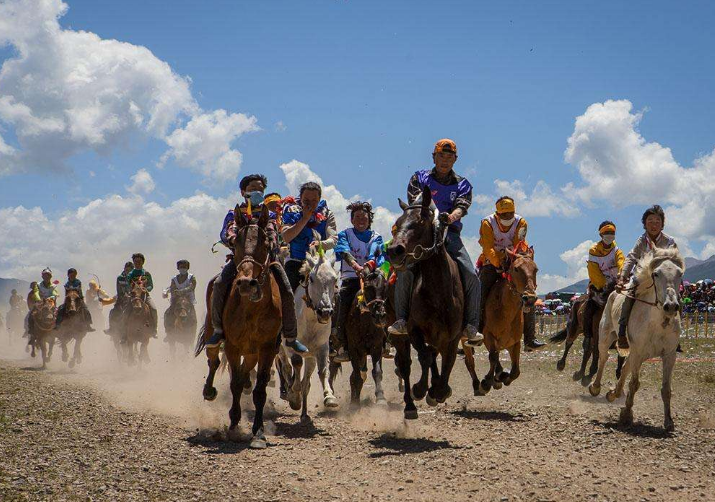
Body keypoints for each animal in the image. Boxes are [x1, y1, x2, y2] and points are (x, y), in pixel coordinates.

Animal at [197, 206, 286, 450]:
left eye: (265, 243)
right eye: (235, 242)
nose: (246, 283)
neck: (251, 309)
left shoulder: (267, 348)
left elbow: (260, 390)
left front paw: (259, 433)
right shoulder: (233, 347)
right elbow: (234, 384)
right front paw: (234, 424)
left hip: (253, 351)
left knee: (247, 370)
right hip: (213, 334)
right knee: (213, 361)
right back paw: (209, 390)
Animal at [278, 249, 340, 422]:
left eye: (334, 279)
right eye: (312, 278)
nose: (325, 312)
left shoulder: (322, 347)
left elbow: (323, 370)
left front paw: (329, 397)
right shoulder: (290, 345)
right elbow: (296, 362)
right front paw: (294, 395)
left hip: (311, 357)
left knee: (306, 382)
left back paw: (304, 413)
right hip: (280, 349)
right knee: (285, 367)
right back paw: (291, 393)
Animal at [386, 186, 464, 418]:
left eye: (420, 222)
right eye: (397, 223)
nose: (394, 250)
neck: (439, 293)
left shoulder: (454, 336)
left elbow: (447, 362)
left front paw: (439, 390)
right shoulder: (414, 330)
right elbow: (423, 357)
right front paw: (421, 389)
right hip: (399, 334)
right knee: (406, 364)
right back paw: (410, 405)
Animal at [476, 246, 536, 396]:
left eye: (536, 269)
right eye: (516, 269)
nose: (530, 298)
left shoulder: (514, 343)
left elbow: (515, 371)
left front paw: (503, 377)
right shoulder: (489, 336)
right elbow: (492, 357)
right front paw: (486, 383)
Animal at [592, 247, 684, 432]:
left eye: (680, 273)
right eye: (656, 273)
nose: (671, 306)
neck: (656, 323)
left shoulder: (669, 355)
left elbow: (666, 389)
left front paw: (669, 421)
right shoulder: (638, 352)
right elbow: (634, 384)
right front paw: (627, 414)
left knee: (624, 367)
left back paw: (614, 393)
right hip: (606, 337)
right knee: (603, 358)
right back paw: (596, 387)